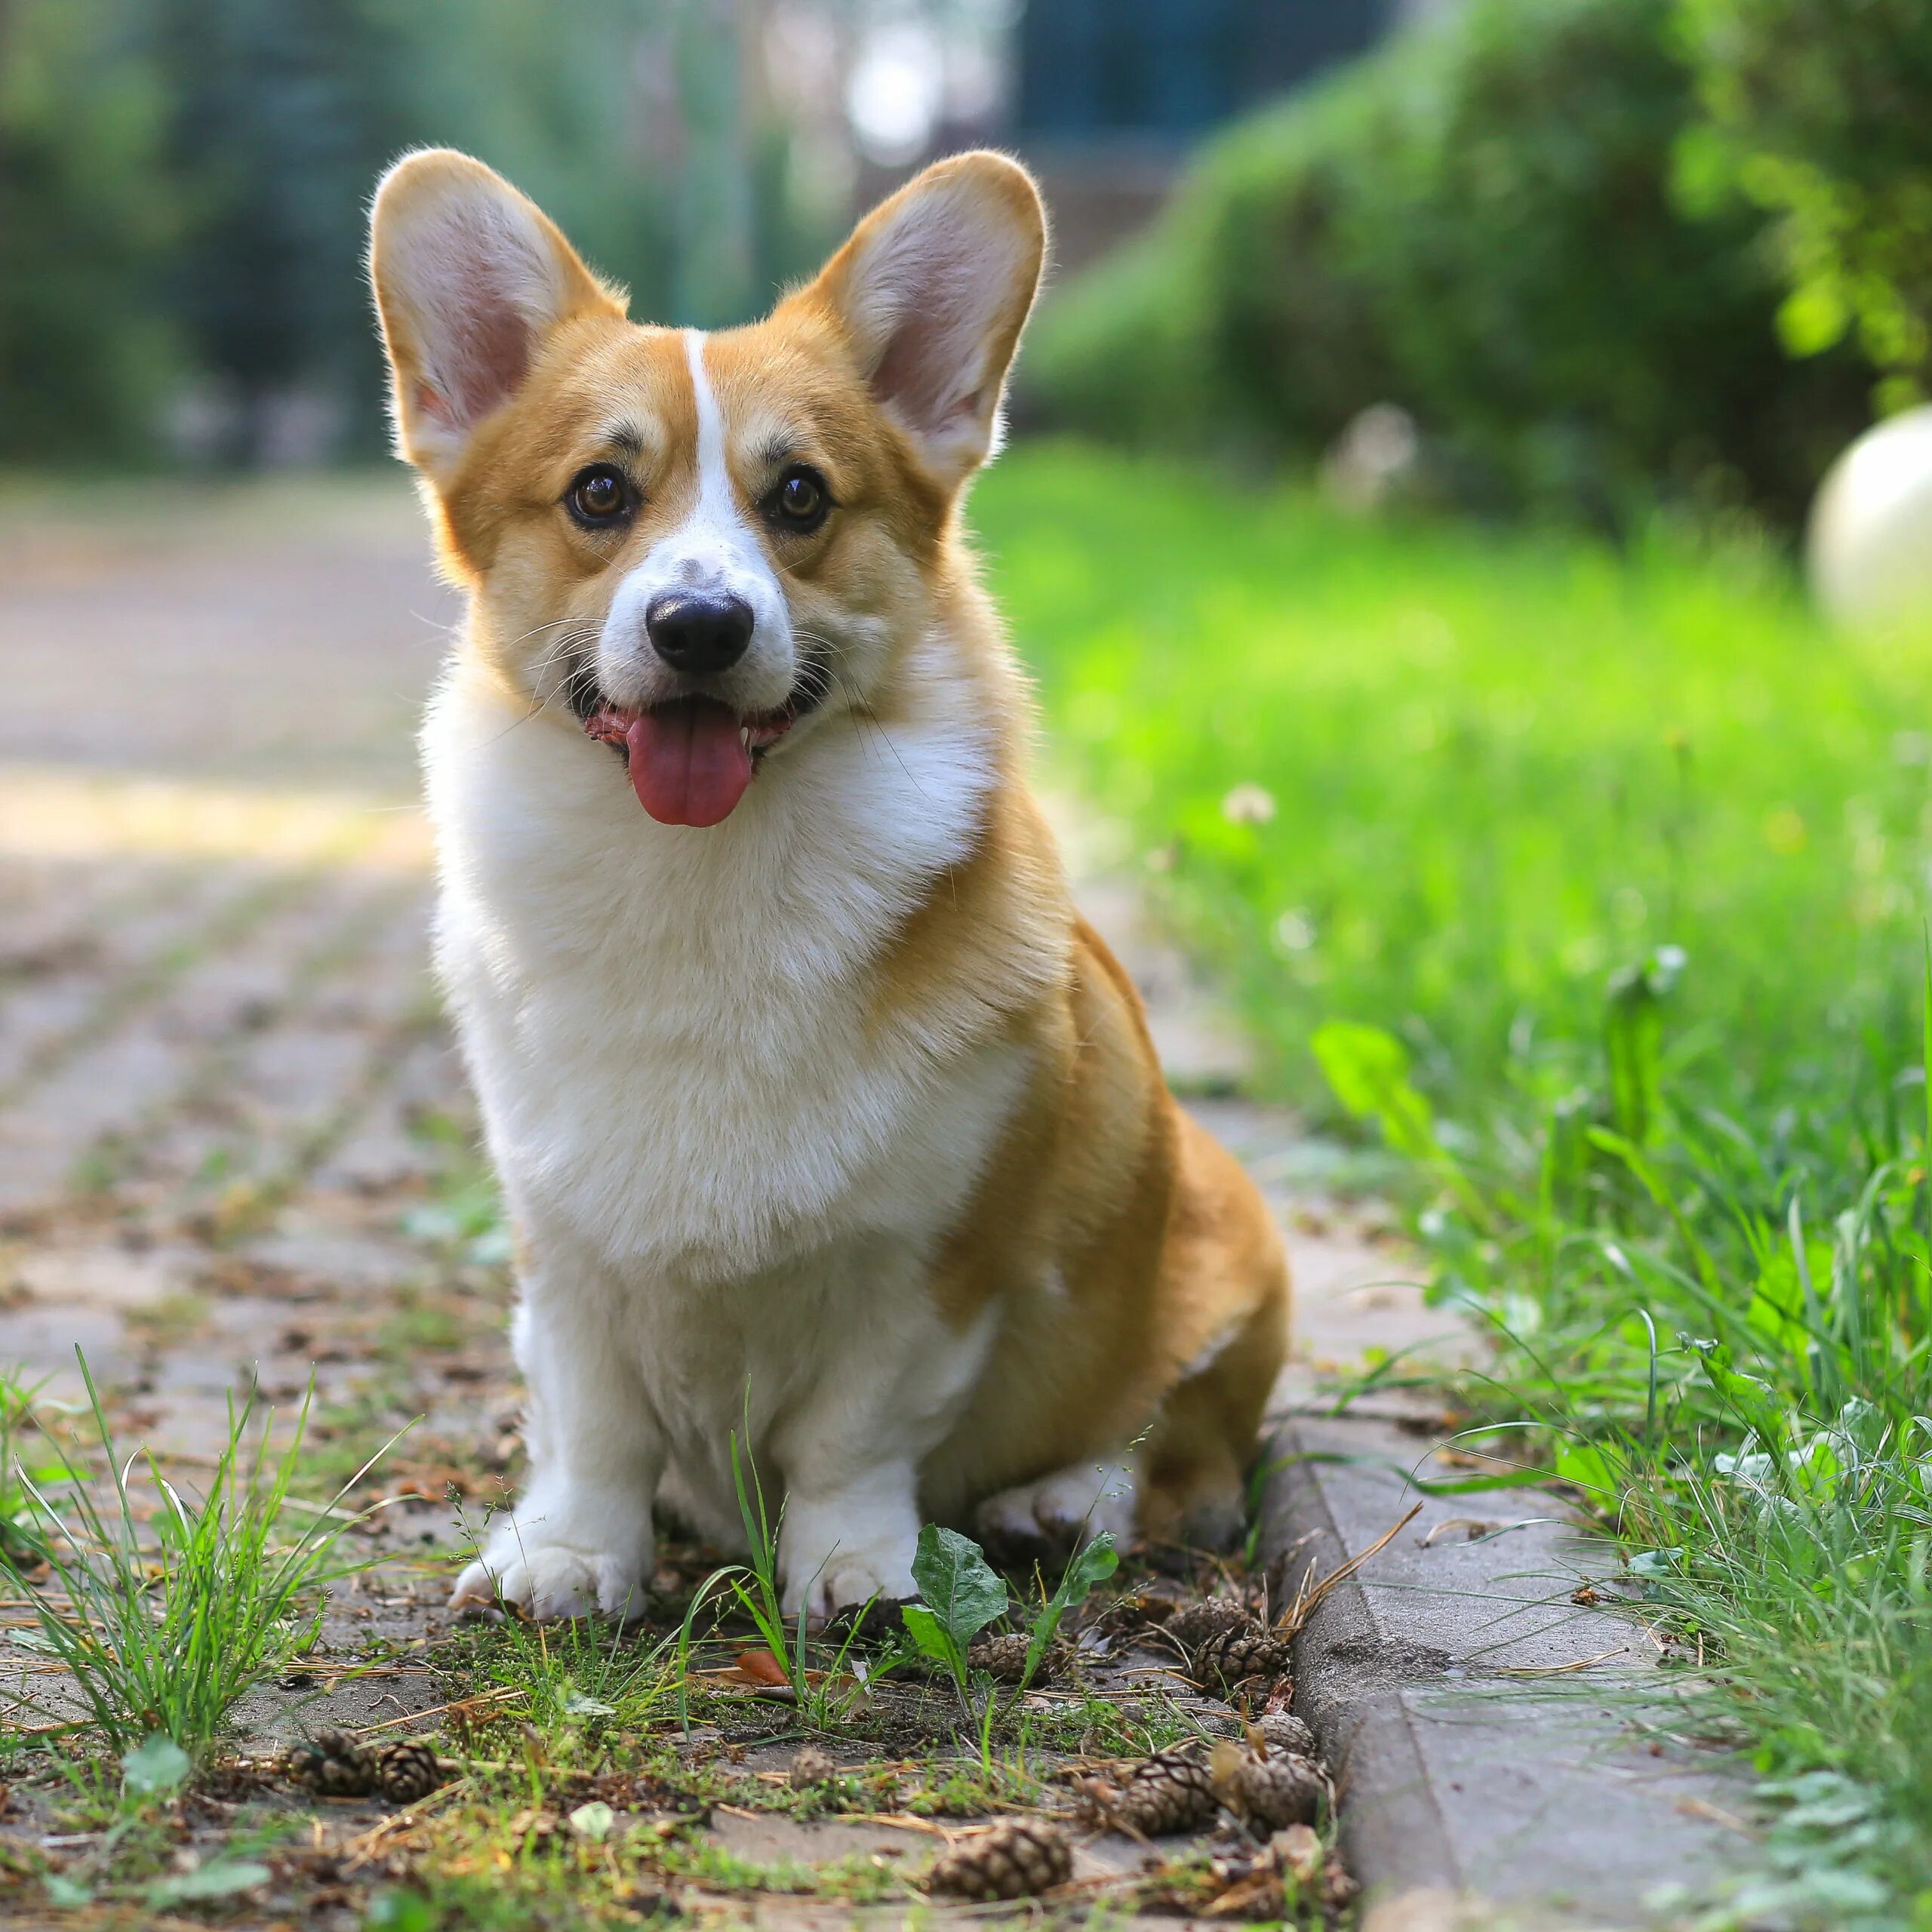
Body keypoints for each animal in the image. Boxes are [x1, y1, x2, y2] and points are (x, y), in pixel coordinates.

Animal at [368, 146, 1291, 1615]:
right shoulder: (564, 1243)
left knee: (1179, 1456)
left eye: (799, 496)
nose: (699, 627)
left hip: (1234, 1260)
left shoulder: (930, 1263)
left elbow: (856, 1434)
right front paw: (569, 1554)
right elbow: (590, 1420)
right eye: (599, 495)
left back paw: (1062, 1501)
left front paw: (852, 1570)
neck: (699, 878)